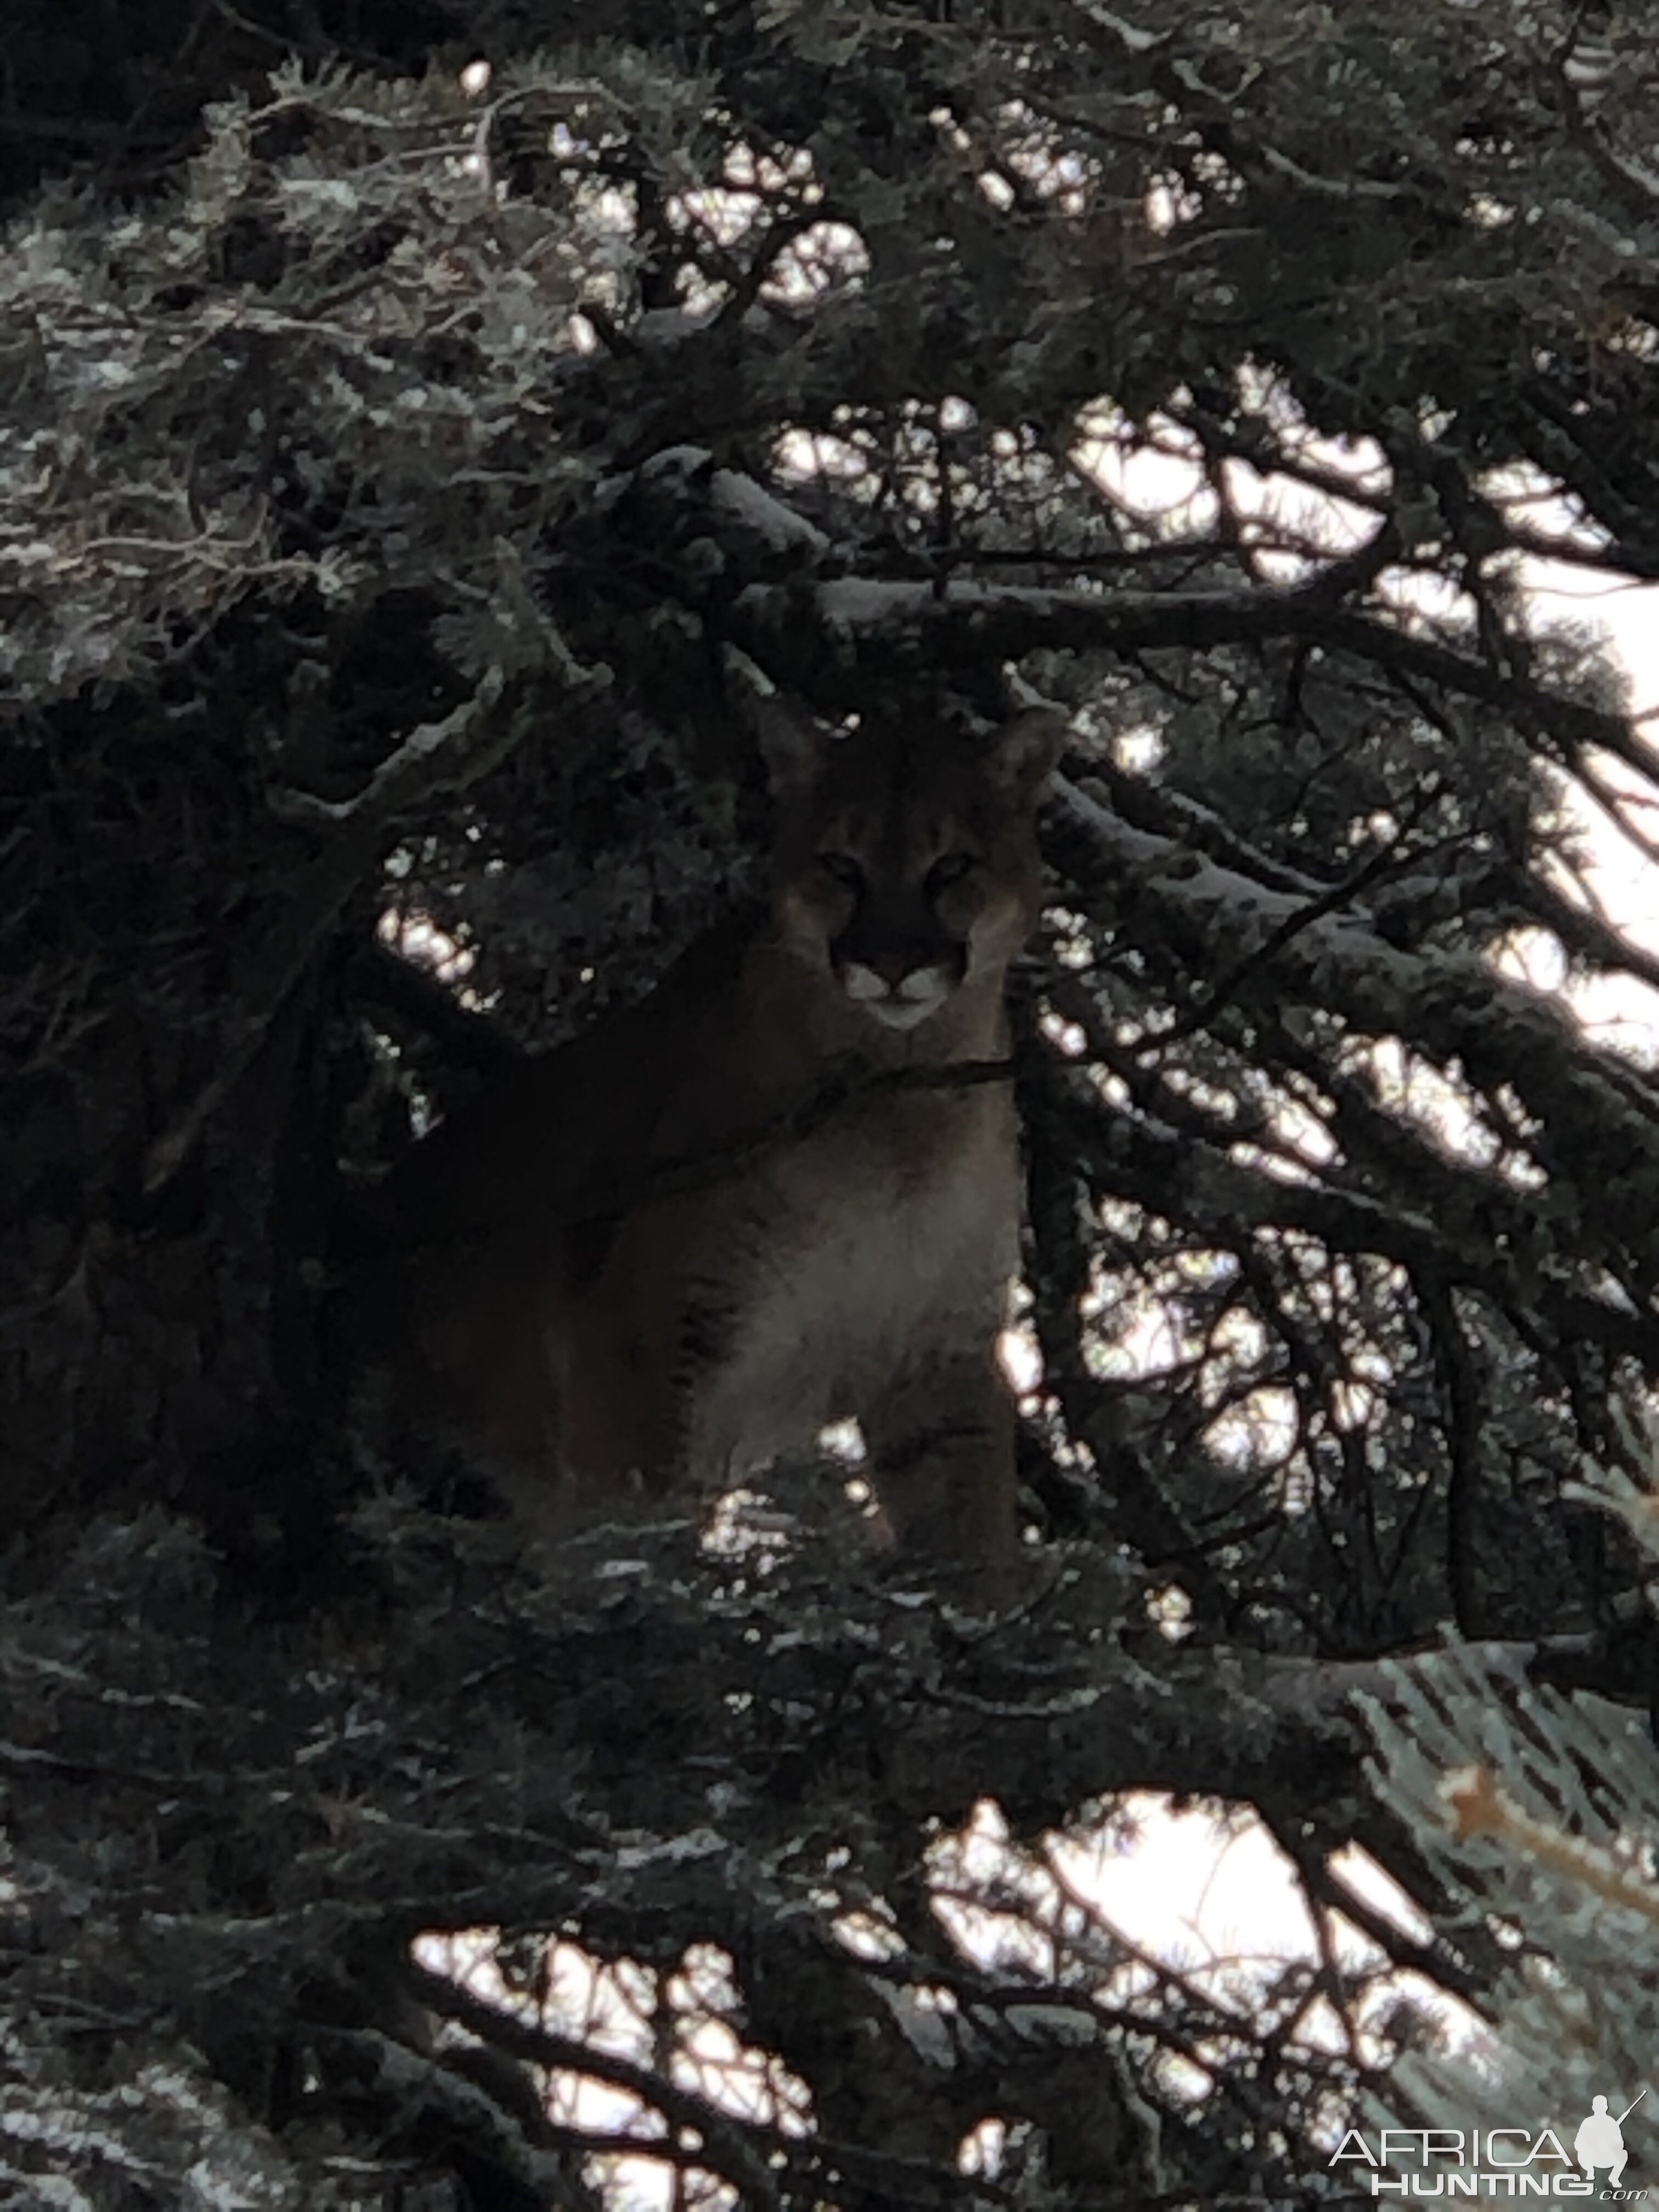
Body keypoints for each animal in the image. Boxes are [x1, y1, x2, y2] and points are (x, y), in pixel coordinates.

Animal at [391, 690, 1066, 1575]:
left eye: (951, 867)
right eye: (841, 867)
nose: (890, 965)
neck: (900, 1107)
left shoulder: (938, 1348)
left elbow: (973, 1541)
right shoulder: (643, 1335)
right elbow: (636, 1534)